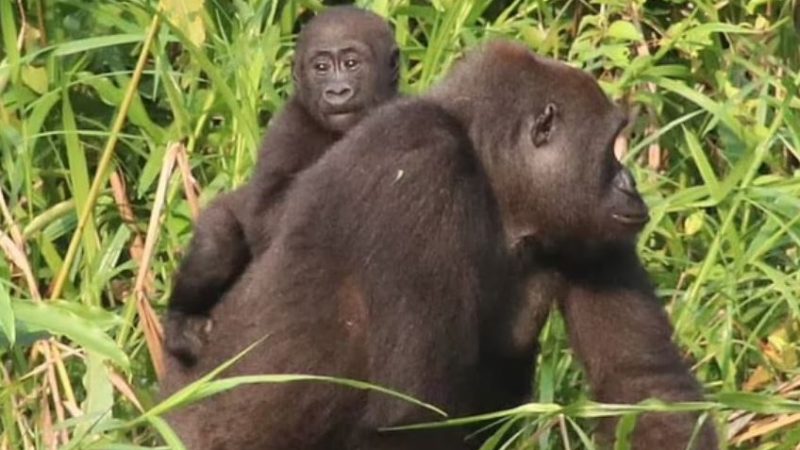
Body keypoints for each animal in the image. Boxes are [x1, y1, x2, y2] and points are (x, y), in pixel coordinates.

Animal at [164, 6, 400, 366]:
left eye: (351, 63)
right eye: (321, 68)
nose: (337, 92)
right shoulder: (287, 127)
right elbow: (268, 217)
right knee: (216, 240)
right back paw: (180, 319)